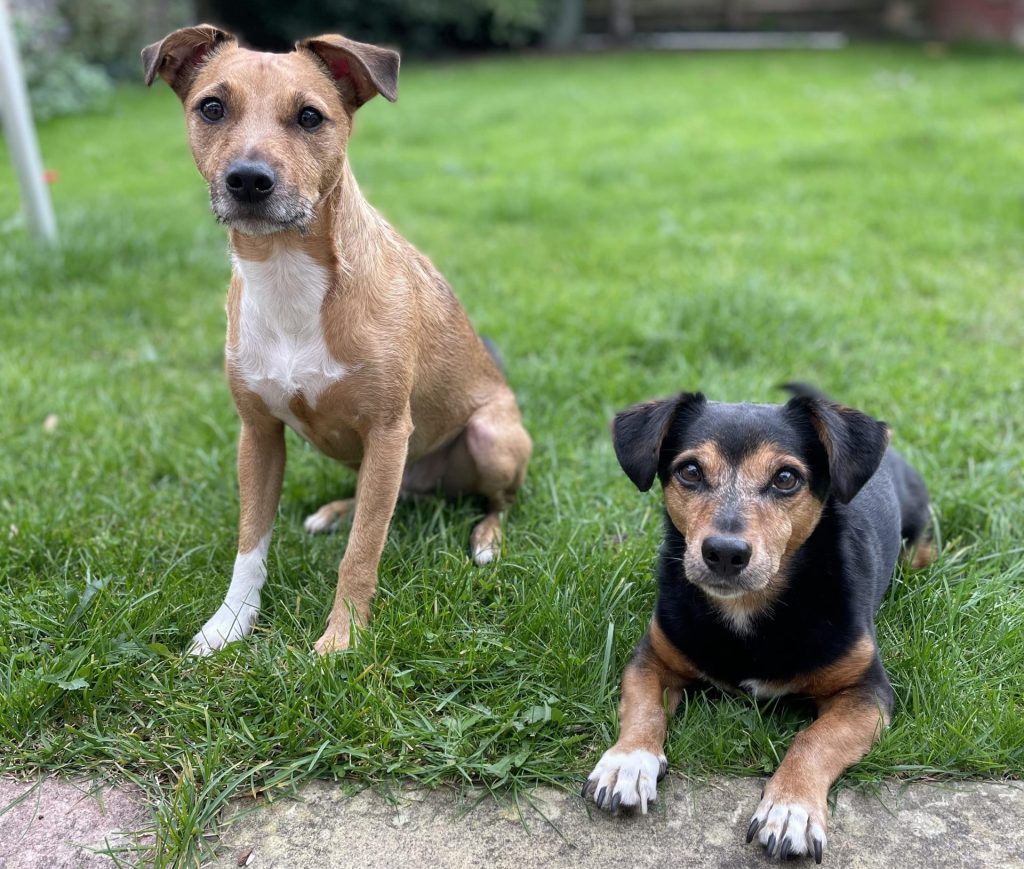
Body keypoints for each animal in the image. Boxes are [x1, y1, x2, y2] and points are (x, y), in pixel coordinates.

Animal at [143, 23, 532, 655]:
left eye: (309, 117)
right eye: (212, 107)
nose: (248, 180)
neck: (286, 278)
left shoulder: (387, 427)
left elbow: (363, 551)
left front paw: (343, 638)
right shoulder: (258, 434)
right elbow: (251, 544)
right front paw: (228, 624)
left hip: (489, 437)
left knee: (495, 501)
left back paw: (486, 539)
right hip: (390, 461)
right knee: (387, 498)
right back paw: (336, 510)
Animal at [585, 384, 929, 859]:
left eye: (786, 478)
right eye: (690, 471)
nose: (725, 552)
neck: (748, 609)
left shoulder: (866, 691)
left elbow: (814, 740)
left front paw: (790, 809)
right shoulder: (653, 657)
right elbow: (644, 710)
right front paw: (629, 762)